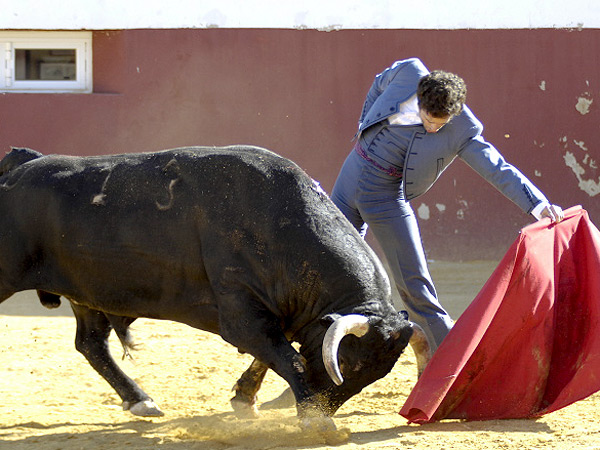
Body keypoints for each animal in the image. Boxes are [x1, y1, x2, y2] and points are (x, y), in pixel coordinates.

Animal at [0, 147, 432, 428]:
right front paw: (315, 422)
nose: (322, 411)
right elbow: (288, 359)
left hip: (87, 291)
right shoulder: (242, 315)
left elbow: (271, 357)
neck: (277, 223)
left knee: (90, 344)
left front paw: (245, 399)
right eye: (348, 364)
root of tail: (19, 168)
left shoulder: (277, 316)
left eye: (373, 375)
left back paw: (141, 401)